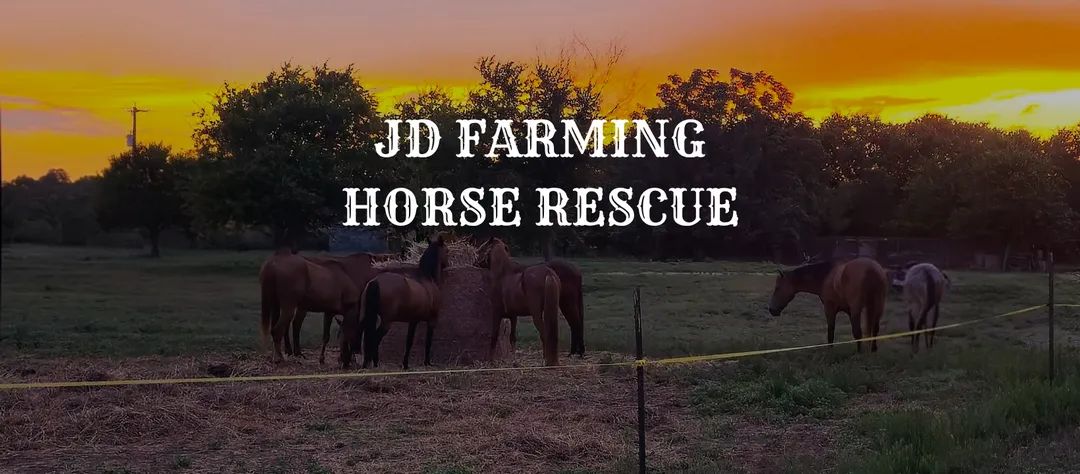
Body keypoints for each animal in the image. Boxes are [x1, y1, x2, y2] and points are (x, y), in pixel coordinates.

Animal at [345, 234, 450, 369]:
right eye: (447, 251)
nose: (447, 264)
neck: (427, 280)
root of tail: (375, 281)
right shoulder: (432, 320)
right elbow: (428, 342)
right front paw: (427, 362)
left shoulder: (413, 320)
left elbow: (409, 341)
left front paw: (405, 364)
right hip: (386, 322)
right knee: (375, 339)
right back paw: (374, 363)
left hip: (365, 318)